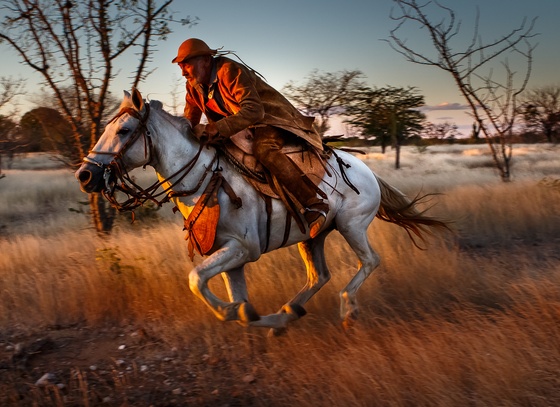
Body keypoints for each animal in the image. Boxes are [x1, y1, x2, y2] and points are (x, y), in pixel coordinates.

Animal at [76, 88, 448, 332]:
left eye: (124, 130)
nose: (85, 175)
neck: (206, 177)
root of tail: (365, 169)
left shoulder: (243, 248)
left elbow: (197, 280)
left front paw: (235, 313)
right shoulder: (230, 256)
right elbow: (233, 298)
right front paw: (251, 315)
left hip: (351, 226)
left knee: (369, 261)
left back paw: (347, 310)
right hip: (312, 236)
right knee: (319, 276)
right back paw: (287, 313)